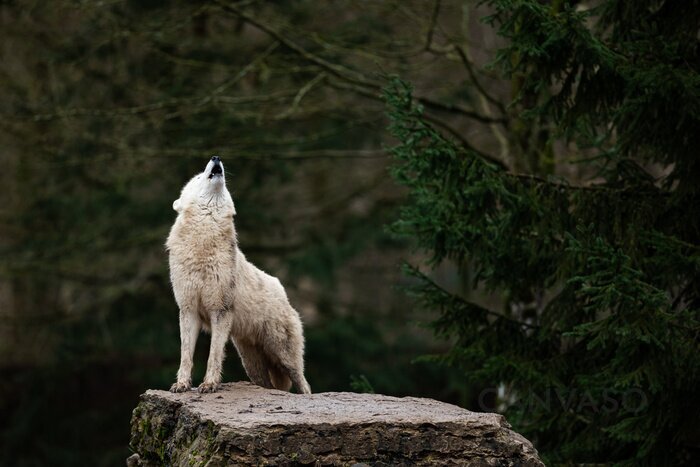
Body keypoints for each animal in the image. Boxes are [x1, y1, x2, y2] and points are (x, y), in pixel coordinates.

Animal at [165, 158, 310, 394]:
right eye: (198, 177)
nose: (216, 158)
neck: (203, 242)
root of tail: (282, 292)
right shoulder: (188, 310)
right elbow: (185, 355)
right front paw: (182, 384)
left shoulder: (220, 311)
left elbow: (214, 355)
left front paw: (209, 384)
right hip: (253, 364)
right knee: (268, 385)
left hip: (284, 357)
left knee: (304, 385)